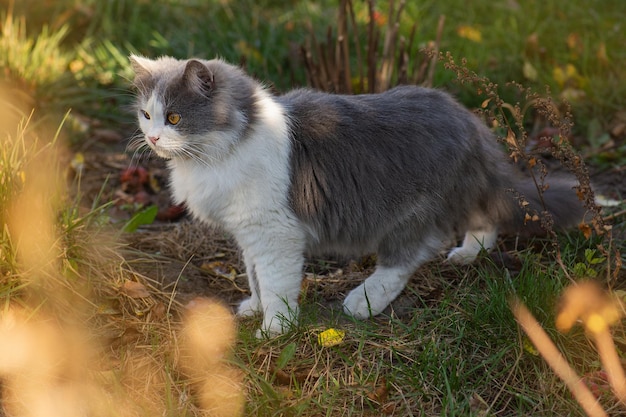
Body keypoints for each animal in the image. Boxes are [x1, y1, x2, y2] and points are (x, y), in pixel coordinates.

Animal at [129, 54, 584, 334]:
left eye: (175, 118)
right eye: (146, 114)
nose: (152, 138)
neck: (217, 155)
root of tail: (469, 121)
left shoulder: (274, 233)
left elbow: (275, 283)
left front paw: (275, 329)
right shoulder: (247, 234)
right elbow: (255, 276)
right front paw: (253, 308)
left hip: (413, 211)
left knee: (408, 258)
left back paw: (363, 301)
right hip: (460, 194)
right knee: (484, 220)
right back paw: (469, 254)